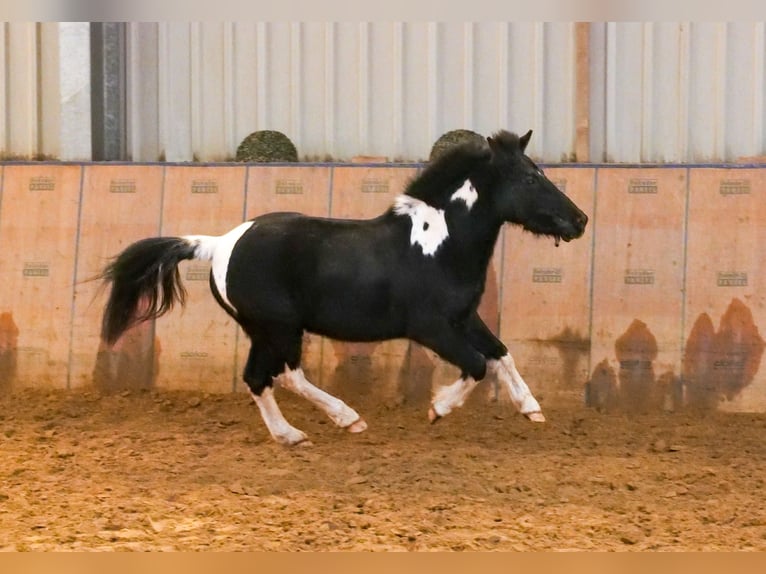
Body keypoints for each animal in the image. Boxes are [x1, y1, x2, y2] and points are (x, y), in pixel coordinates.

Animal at [100, 130, 588, 446]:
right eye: (530, 178)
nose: (580, 220)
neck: (439, 243)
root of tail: (219, 245)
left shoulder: (464, 318)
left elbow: (502, 353)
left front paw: (532, 408)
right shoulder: (431, 328)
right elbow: (477, 365)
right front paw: (438, 409)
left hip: (261, 331)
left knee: (258, 378)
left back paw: (290, 436)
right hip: (279, 327)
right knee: (287, 375)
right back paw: (348, 419)